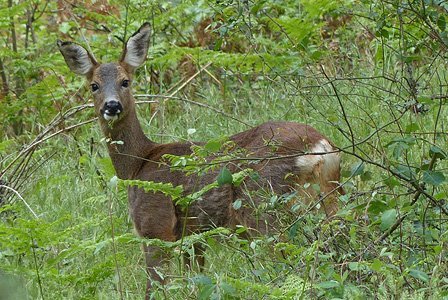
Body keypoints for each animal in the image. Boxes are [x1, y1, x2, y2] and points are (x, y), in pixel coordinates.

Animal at [57, 22, 344, 298]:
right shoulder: (194, 235)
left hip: (263, 204)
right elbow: (194, 280)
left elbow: (155, 286)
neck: (138, 164)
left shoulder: (156, 225)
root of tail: (320, 145)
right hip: (329, 198)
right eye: (94, 85)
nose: (112, 106)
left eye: (125, 81)